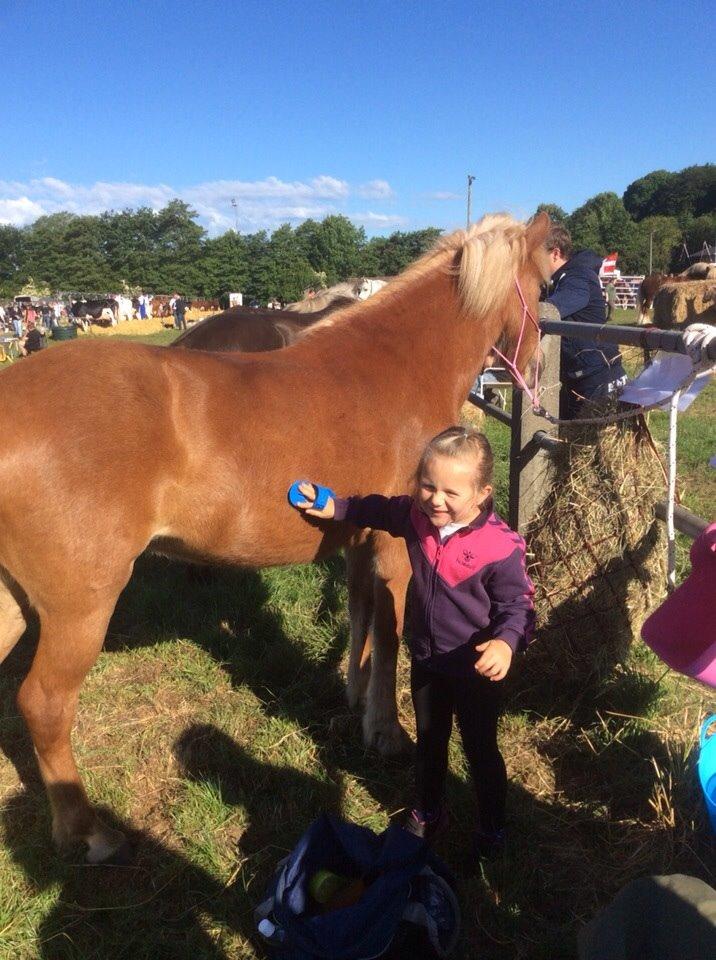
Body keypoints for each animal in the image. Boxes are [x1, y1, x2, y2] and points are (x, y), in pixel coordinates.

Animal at [0, 212, 552, 864]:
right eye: (546, 285)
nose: (536, 366)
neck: (393, 366)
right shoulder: (398, 551)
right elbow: (390, 632)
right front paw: (387, 731)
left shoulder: (358, 539)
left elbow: (361, 617)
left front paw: (354, 696)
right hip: (79, 607)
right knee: (45, 704)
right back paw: (89, 832)